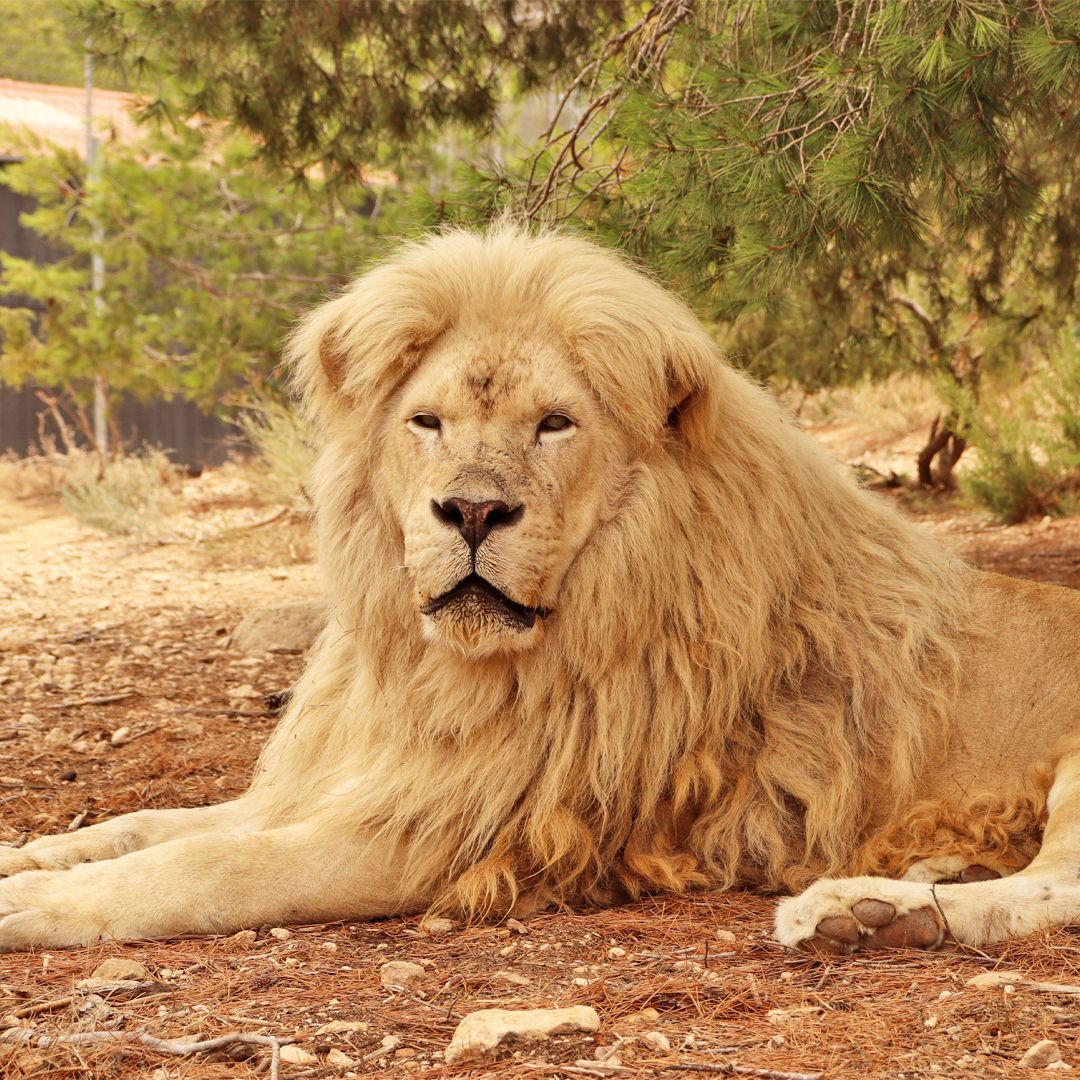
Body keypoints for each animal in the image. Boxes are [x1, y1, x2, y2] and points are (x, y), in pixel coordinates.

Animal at [1, 224, 1078, 955]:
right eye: (427, 422)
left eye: (556, 424)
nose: (473, 511)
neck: (449, 671)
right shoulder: (359, 777)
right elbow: (154, 825)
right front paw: (32, 856)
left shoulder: (454, 829)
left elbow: (212, 863)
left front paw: (32, 905)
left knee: (1053, 892)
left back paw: (862, 914)